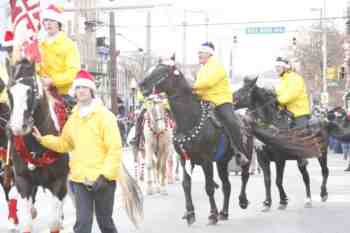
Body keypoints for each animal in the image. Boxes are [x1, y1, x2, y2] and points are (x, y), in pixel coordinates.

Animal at [6, 58, 68, 233]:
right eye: (9, 92)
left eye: (31, 90)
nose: (17, 127)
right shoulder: (22, 181)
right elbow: (26, 223)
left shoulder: (58, 181)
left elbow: (54, 222)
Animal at [138, 62, 253, 226]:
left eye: (162, 71)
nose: (141, 85)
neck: (189, 121)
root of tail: (245, 121)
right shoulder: (184, 159)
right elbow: (186, 185)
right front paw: (190, 213)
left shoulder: (206, 160)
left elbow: (209, 187)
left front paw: (212, 215)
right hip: (222, 162)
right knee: (227, 185)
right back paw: (224, 212)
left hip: (246, 155)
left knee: (244, 176)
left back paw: (242, 201)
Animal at [234, 78, 330, 211]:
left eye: (244, 89)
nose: (232, 97)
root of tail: (322, 121)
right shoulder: (262, 158)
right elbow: (267, 180)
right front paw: (267, 202)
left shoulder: (280, 158)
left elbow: (278, 181)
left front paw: (283, 201)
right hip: (301, 159)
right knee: (306, 176)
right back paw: (308, 199)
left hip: (322, 153)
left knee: (325, 171)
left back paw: (323, 194)